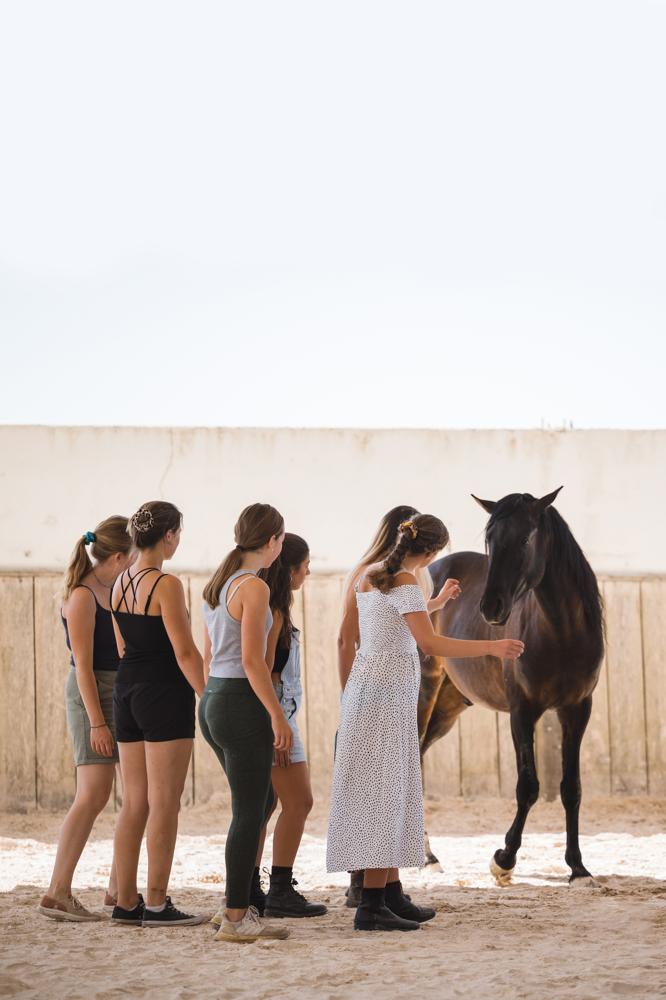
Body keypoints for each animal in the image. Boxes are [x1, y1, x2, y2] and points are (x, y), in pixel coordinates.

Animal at [418, 488, 604, 888]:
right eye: (490, 540)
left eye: (525, 539)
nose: (491, 608)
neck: (561, 633)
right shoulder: (523, 712)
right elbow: (528, 786)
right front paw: (504, 859)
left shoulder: (577, 710)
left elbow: (571, 788)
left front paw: (578, 868)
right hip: (424, 690)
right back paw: (424, 857)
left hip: (450, 706)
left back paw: (427, 856)